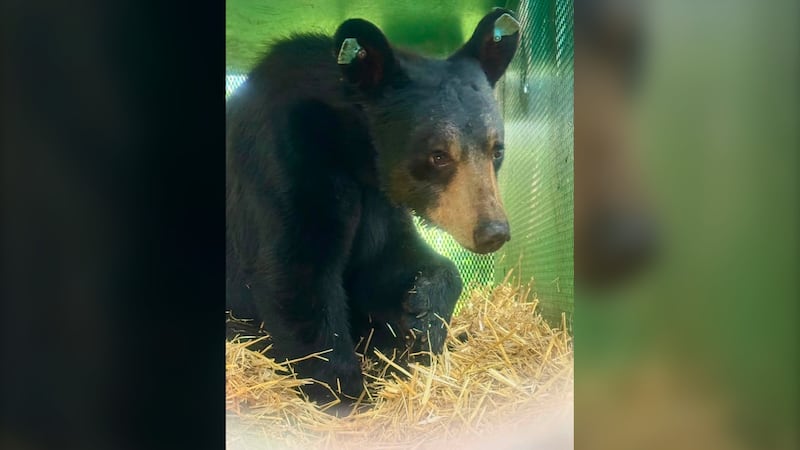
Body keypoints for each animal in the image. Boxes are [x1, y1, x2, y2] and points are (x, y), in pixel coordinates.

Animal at [225, 8, 519, 409]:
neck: (353, 151)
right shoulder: (282, 162)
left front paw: (423, 314)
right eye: (438, 155)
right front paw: (346, 393)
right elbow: (295, 274)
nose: (492, 231)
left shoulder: (378, 201)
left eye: (497, 149)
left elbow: (386, 260)